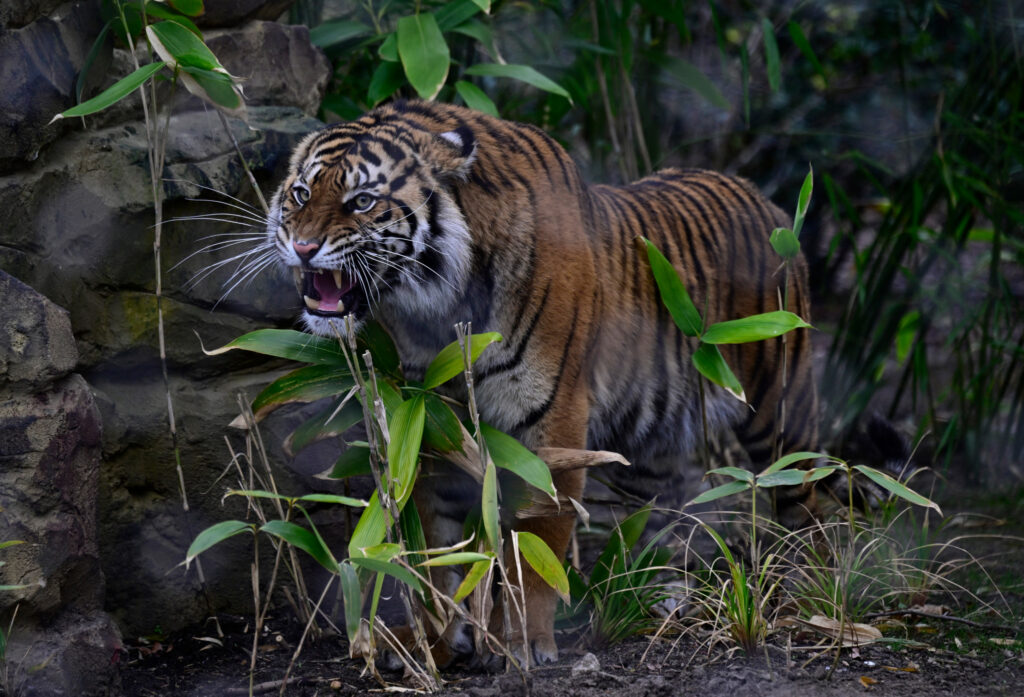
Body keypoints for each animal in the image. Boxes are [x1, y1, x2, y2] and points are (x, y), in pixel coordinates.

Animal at [266, 99, 819, 667]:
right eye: (302, 193)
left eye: (362, 201)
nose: (302, 247)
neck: (436, 310)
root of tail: (766, 201)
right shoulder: (428, 421)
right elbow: (435, 550)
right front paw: (433, 642)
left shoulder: (550, 420)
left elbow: (537, 541)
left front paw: (523, 643)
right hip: (650, 444)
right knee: (668, 504)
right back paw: (653, 593)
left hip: (778, 403)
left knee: (801, 486)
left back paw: (805, 587)